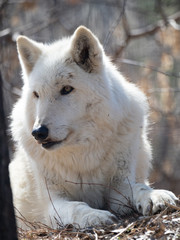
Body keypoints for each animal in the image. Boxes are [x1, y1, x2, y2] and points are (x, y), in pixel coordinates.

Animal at [9, 25, 178, 229]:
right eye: (36, 95)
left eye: (66, 89)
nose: (38, 132)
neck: (84, 153)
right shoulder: (53, 203)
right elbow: (76, 206)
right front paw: (95, 216)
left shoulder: (120, 186)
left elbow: (140, 187)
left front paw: (156, 196)